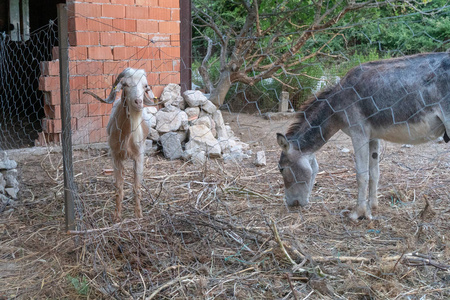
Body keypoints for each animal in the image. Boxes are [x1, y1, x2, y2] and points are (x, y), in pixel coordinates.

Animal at [85, 69, 157, 221]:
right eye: (125, 84)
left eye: (145, 86)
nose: (138, 102)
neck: (126, 136)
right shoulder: (115, 156)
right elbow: (118, 186)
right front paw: (117, 216)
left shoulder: (139, 156)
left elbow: (137, 187)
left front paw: (138, 215)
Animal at [278, 52, 450, 220]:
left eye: (281, 169)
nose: (291, 204)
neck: (335, 104)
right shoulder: (373, 137)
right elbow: (374, 173)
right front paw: (372, 208)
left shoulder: (358, 134)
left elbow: (361, 175)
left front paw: (358, 213)